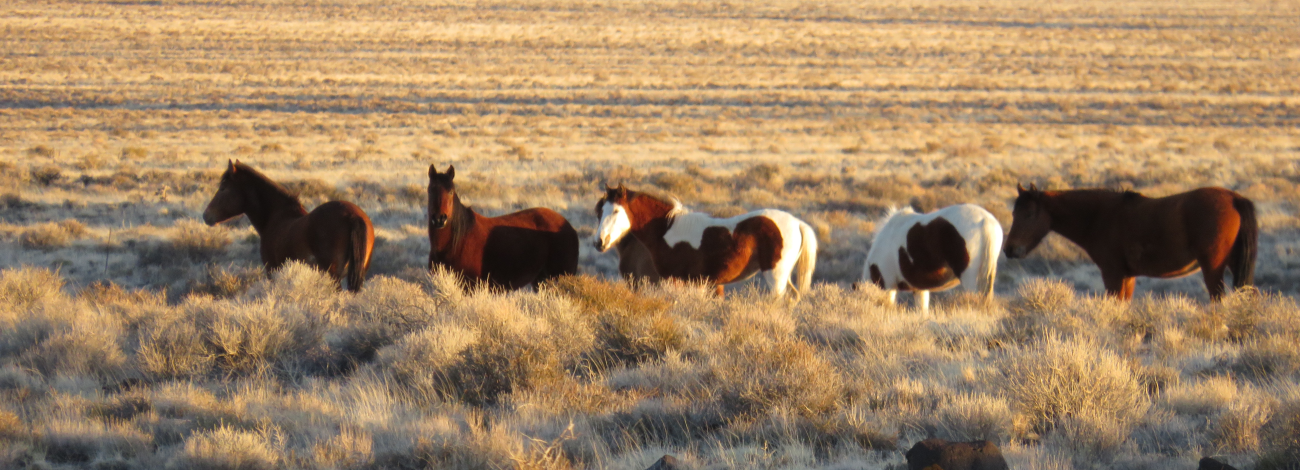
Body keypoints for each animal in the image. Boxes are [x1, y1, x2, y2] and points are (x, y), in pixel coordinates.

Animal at [201, 160, 377, 289]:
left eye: (223, 188)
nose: (206, 215)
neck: (276, 216)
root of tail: (353, 215)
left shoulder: (272, 271)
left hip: (333, 275)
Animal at [595, 184, 816, 297]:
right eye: (599, 212)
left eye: (616, 211)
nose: (600, 242)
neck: (665, 229)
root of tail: (797, 223)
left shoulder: (674, 281)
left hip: (775, 275)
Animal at [998, 184, 1253, 301]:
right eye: (1014, 213)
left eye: (1029, 214)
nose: (1009, 249)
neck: (1099, 217)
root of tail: (1233, 198)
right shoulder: (1127, 276)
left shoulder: (1112, 274)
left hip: (1213, 268)